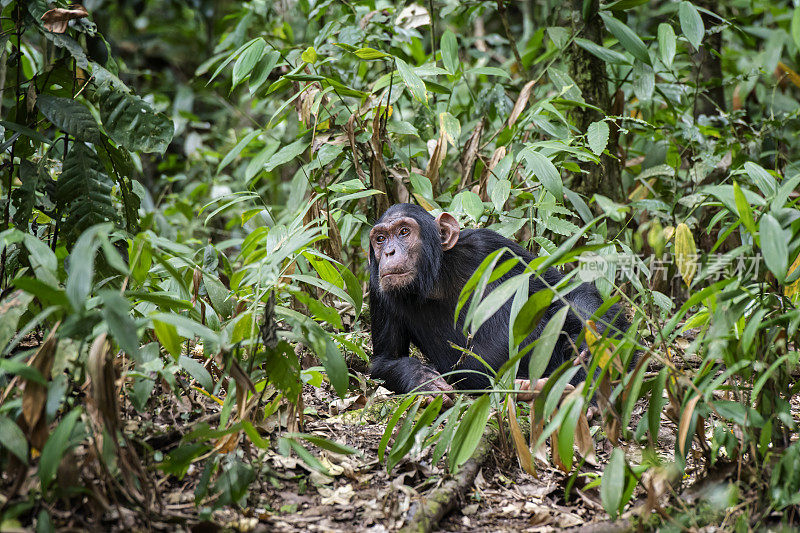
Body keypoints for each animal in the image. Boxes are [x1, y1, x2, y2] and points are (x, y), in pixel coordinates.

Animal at [368, 202, 632, 396]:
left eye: (404, 232)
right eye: (380, 239)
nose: (389, 252)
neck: (437, 280)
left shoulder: (491, 245)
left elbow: (564, 290)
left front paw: (593, 342)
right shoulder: (377, 290)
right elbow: (384, 360)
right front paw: (422, 378)